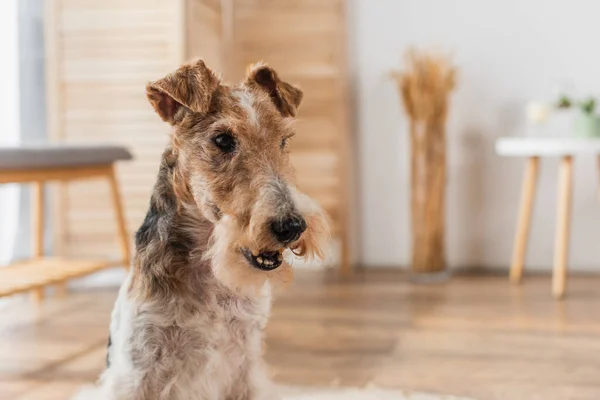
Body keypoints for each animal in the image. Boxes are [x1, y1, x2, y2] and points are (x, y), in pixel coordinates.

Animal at [75, 59, 330, 400]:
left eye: (283, 141)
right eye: (222, 139)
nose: (291, 226)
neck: (210, 272)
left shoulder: (245, 369)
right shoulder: (137, 372)